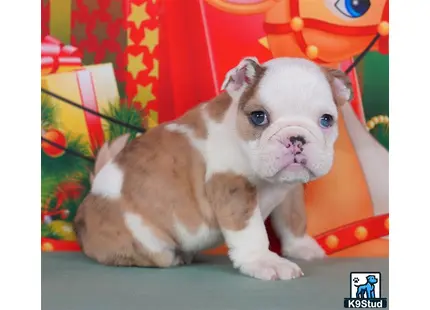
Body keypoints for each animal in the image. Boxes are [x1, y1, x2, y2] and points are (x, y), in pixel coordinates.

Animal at [74, 56, 352, 280]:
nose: (296, 137)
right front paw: (264, 261)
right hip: (145, 238)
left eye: (326, 120)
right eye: (258, 117)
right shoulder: (231, 185)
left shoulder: (290, 189)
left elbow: (293, 217)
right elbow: (251, 231)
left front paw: (301, 247)